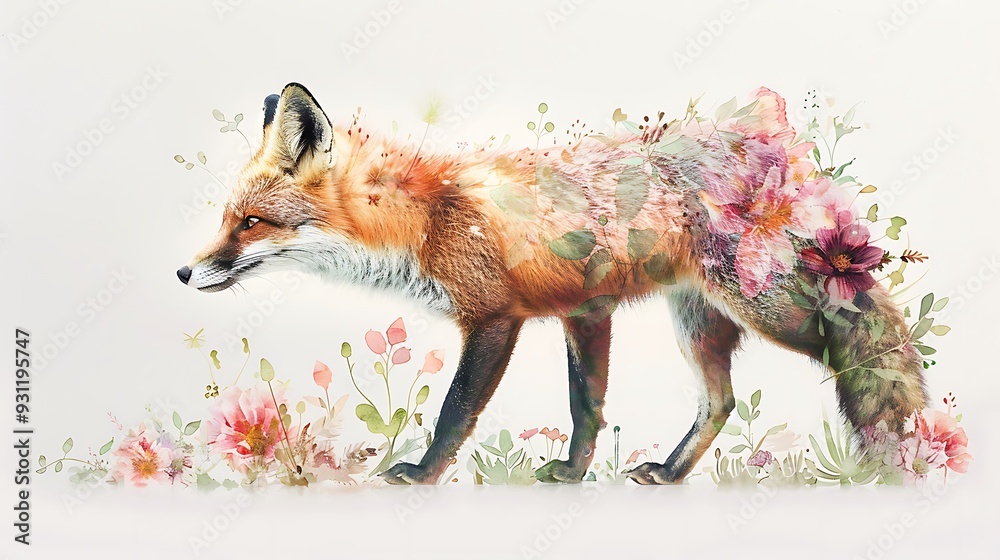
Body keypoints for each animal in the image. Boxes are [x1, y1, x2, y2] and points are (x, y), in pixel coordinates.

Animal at [177, 83, 928, 485]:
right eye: (226, 219)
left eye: (251, 223)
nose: (185, 271)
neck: (424, 220)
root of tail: (766, 149)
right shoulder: (585, 310)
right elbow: (585, 407)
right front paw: (572, 475)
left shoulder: (492, 318)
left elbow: (455, 411)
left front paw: (421, 476)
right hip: (695, 320)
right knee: (721, 402)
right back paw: (670, 473)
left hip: (770, 306)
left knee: (864, 334)